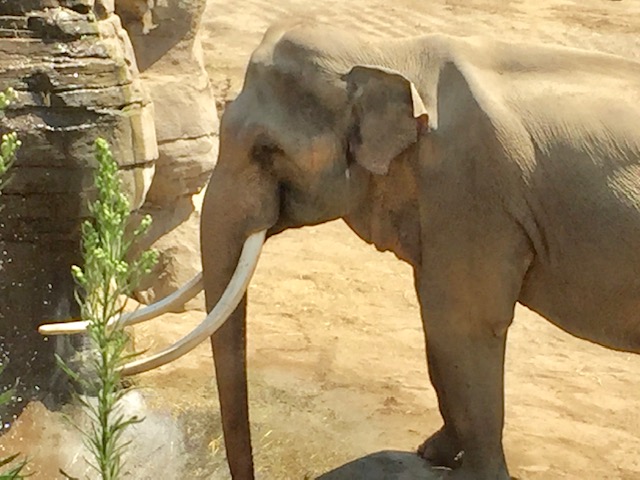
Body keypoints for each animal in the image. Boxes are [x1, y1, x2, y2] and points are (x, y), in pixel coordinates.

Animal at [38, 20, 640, 480]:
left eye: (267, 150)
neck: (392, 55)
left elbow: (463, 323)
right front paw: (432, 453)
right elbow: (436, 322)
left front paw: (474, 475)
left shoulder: (471, 191)